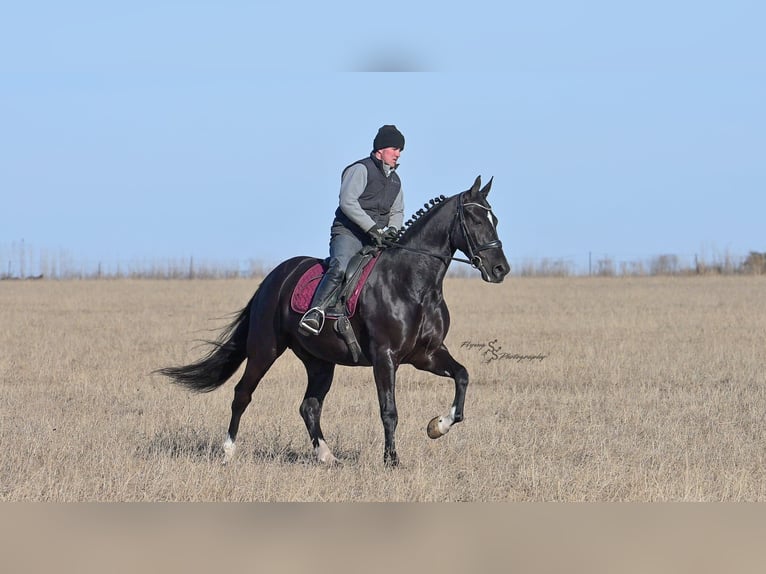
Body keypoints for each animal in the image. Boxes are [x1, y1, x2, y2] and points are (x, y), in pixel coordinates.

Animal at [156, 175, 510, 466]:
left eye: (494, 219)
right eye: (476, 219)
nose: (500, 269)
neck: (413, 283)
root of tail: (274, 278)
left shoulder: (427, 355)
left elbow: (462, 377)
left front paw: (438, 426)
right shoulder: (385, 357)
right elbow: (389, 411)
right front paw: (392, 461)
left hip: (320, 361)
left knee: (309, 406)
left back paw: (327, 457)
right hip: (264, 349)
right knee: (243, 393)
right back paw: (228, 452)